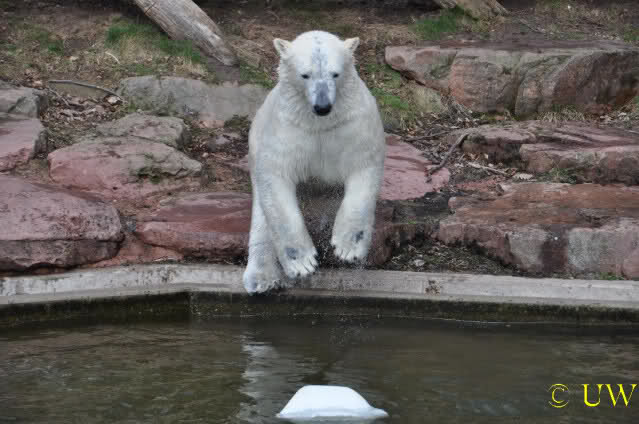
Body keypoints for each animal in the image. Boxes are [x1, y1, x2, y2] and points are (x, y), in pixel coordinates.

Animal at [243, 30, 386, 294]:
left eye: (335, 73)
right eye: (305, 74)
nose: (322, 106)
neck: (318, 123)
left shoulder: (352, 123)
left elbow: (362, 166)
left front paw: (348, 247)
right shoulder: (287, 127)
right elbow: (276, 177)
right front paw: (302, 263)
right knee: (262, 215)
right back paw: (261, 278)